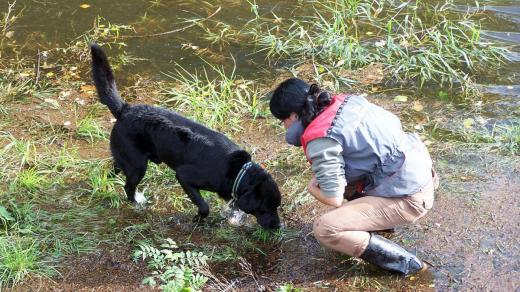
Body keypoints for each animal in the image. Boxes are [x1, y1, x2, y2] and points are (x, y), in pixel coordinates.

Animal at [91, 44, 282, 229]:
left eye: (277, 207)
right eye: (266, 208)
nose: (279, 226)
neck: (237, 171)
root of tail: (124, 109)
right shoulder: (184, 176)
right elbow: (204, 206)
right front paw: (198, 218)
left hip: (127, 159)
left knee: (113, 169)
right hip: (138, 166)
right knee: (128, 187)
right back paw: (137, 204)